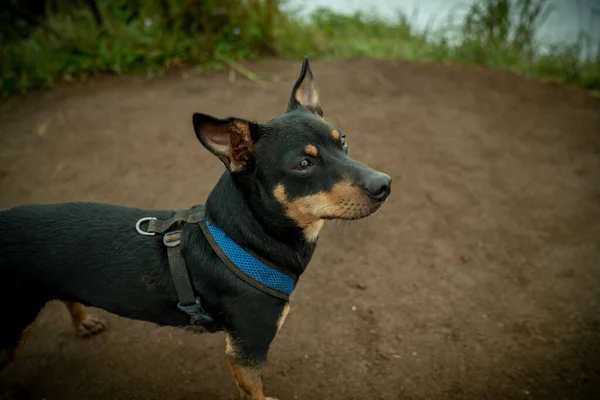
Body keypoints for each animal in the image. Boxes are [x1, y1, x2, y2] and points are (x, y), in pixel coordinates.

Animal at [0, 57, 392, 400]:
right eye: (303, 164)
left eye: (343, 140)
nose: (385, 184)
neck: (244, 236)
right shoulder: (246, 350)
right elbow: (254, 391)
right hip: (12, 329)